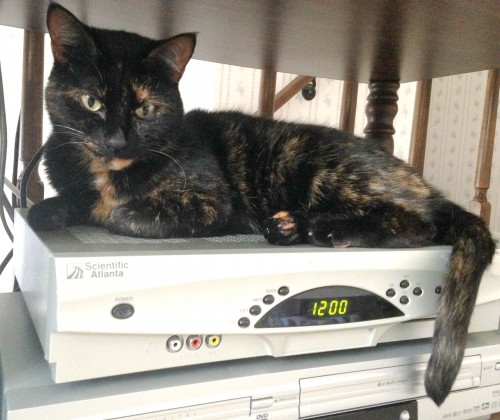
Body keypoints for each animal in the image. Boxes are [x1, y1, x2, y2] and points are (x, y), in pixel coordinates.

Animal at [27, 3, 495, 406]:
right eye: (91, 102)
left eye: (145, 109)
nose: (116, 141)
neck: (108, 171)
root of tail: (422, 181)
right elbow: (63, 200)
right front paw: (46, 210)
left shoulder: (211, 204)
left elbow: (123, 214)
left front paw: (108, 209)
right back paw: (290, 227)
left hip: (317, 162)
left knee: (420, 223)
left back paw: (331, 229)